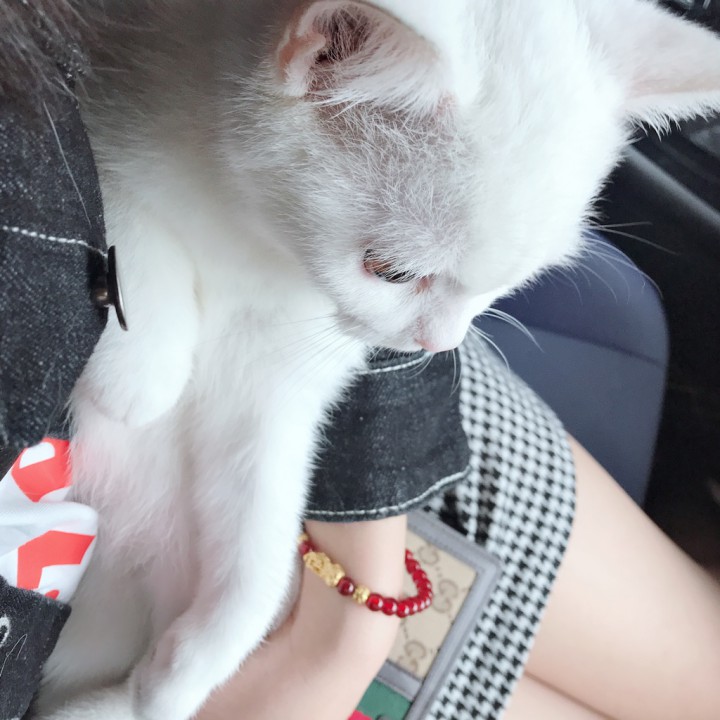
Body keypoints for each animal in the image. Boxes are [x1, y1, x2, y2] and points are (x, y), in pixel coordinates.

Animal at [35, 1, 720, 718]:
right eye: (392, 271)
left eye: (506, 284)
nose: (438, 344)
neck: (252, 235)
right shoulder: (103, 106)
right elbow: (117, 198)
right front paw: (141, 362)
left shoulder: (275, 384)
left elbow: (258, 537)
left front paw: (191, 665)